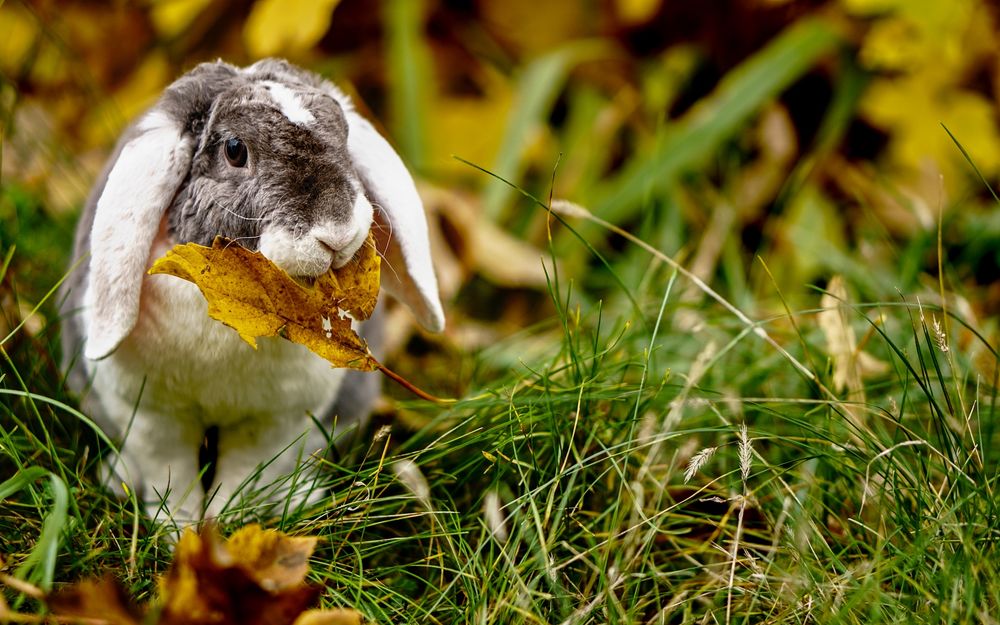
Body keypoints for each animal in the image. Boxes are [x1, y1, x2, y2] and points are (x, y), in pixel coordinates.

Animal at [59, 59, 445, 527]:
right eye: (234, 149)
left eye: (344, 136)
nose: (338, 233)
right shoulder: (150, 415)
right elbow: (169, 472)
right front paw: (177, 527)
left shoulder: (277, 421)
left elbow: (247, 474)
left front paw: (225, 523)